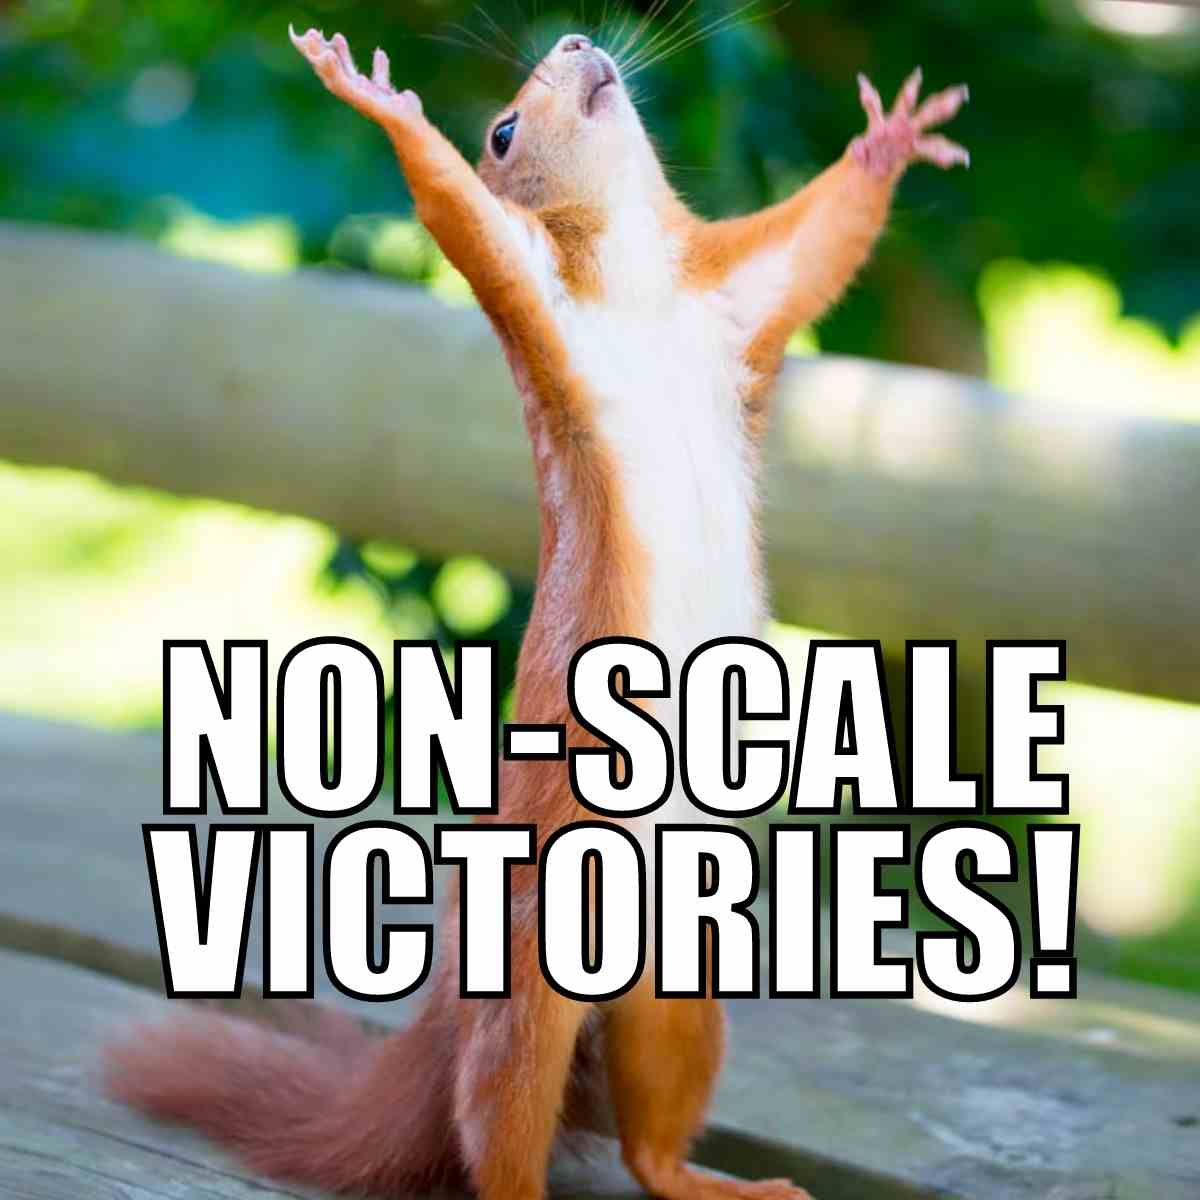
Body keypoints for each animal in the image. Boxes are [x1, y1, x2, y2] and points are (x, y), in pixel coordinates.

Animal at [104, 24, 968, 1200]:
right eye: (503, 130)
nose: (574, 41)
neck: (640, 280)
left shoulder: (736, 299)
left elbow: (820, 241)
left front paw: (887, 142)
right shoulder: (536, 299)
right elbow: (457, 215)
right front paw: (378, 100)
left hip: (676, 977)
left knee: (651, 1128)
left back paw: (713, 1179)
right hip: (533, 967)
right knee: (496, 1117)